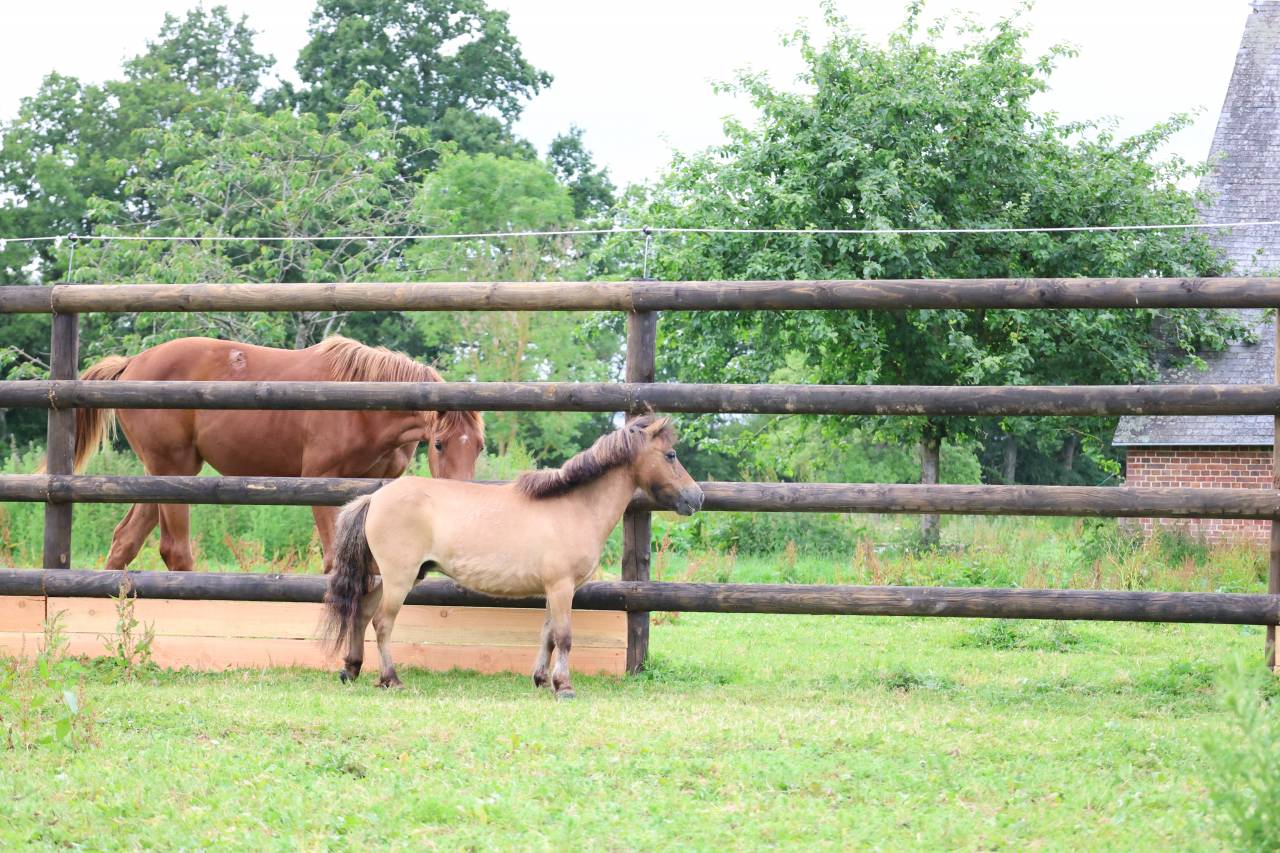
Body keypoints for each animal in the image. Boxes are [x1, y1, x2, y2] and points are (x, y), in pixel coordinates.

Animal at [72, 335, 486, 573]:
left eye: (479, 445)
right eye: (439, 443)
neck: (367, 405)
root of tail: (130, 364)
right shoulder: (322, 482)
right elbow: (333, 561)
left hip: (163, 473)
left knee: (125, 540)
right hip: (172, 470)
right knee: (175, 551)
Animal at [322, 415, 703, 697]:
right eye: (671, 454)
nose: (696, 497)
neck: (574, 507)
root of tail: (374, 498)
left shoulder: (555, 589)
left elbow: (548, 634)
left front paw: (541, 680)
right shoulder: (562, 587)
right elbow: (564, 636)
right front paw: (564, 687)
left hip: (397, 576)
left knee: (361, 612)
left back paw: (351, 669)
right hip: (399, 578)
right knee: (382, 623)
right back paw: (391, 679)